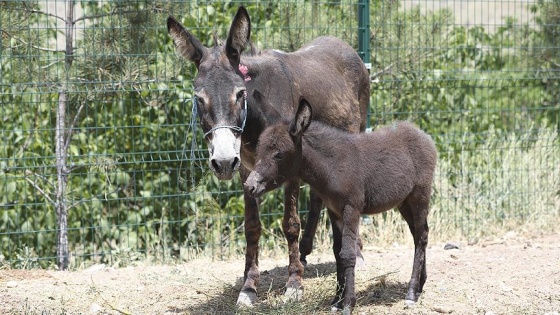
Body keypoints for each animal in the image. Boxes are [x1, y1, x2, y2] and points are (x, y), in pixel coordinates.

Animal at [245, 100, 438, 312]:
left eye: (278, 154)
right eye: (259, 151)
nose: (249, 186)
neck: (332, 166)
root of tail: (423, 135)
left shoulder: (351, 209)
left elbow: (347, 254)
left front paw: (348, 304)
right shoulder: (334, 210)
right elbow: (337, 253)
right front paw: (336, 301)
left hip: (419, 196)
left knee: (422, 236)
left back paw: (411, 293)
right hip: (404, 202)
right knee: (419, 235)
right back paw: (420, 286)